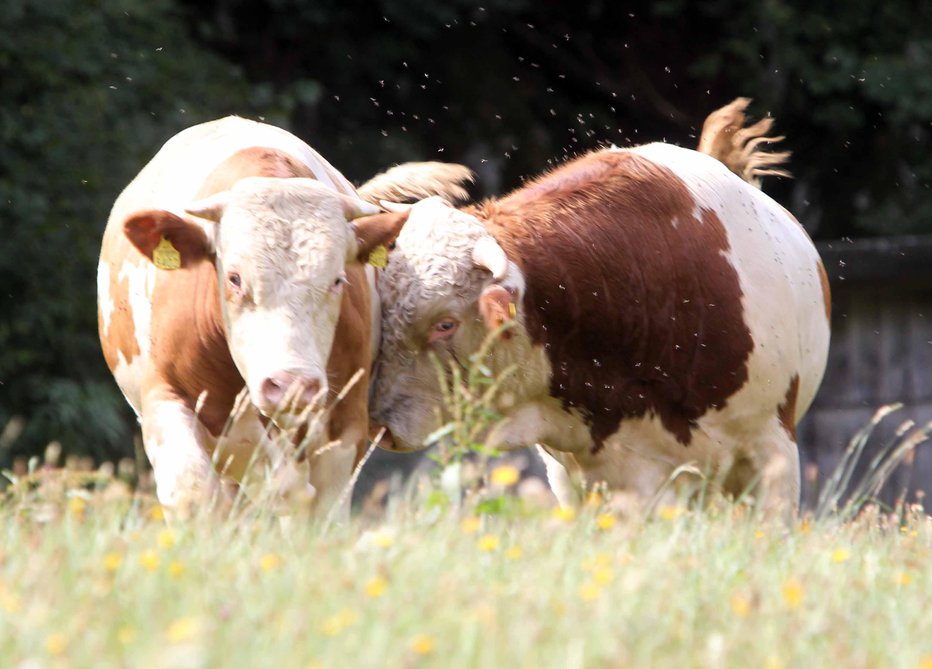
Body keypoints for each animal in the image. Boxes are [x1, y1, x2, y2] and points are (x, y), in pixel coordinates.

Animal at [96, 116, 432, 516]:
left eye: (337, 280)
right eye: (234, 278)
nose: (292, 384)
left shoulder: (345, 427)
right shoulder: (167, 397)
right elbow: (194, 491)